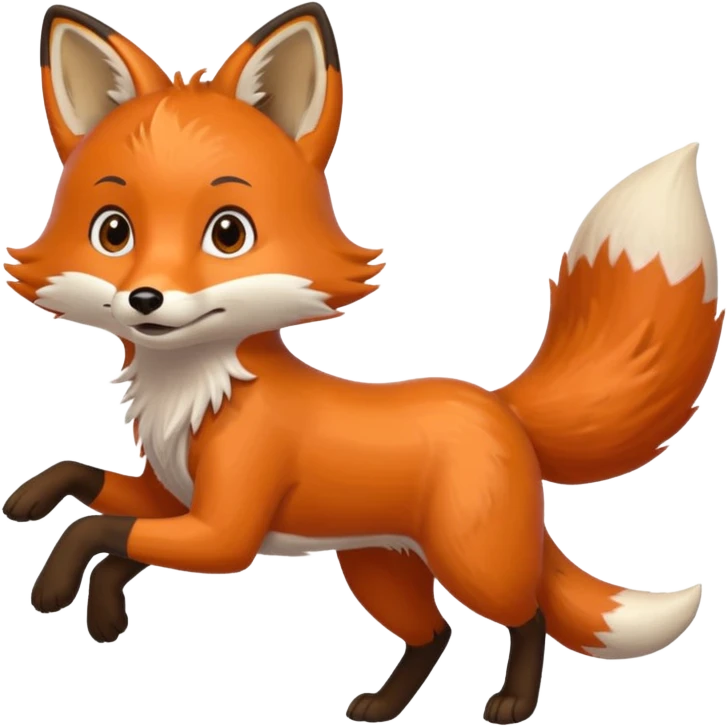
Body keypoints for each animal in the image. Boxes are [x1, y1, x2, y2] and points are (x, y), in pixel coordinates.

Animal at [1, 3, 720, 725]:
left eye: (228, 233)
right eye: (112, 231)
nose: (145, 298)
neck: (198, 390)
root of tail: (500, 405)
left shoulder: (225, 527)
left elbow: (100, 531)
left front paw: (65, 589)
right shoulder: (171, 496)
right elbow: (93, 495)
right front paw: (41, 518)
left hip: (471, 560)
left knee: (528, 615)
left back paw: (513, 702)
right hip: (380, 567)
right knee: (434, 633)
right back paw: (382, 706)